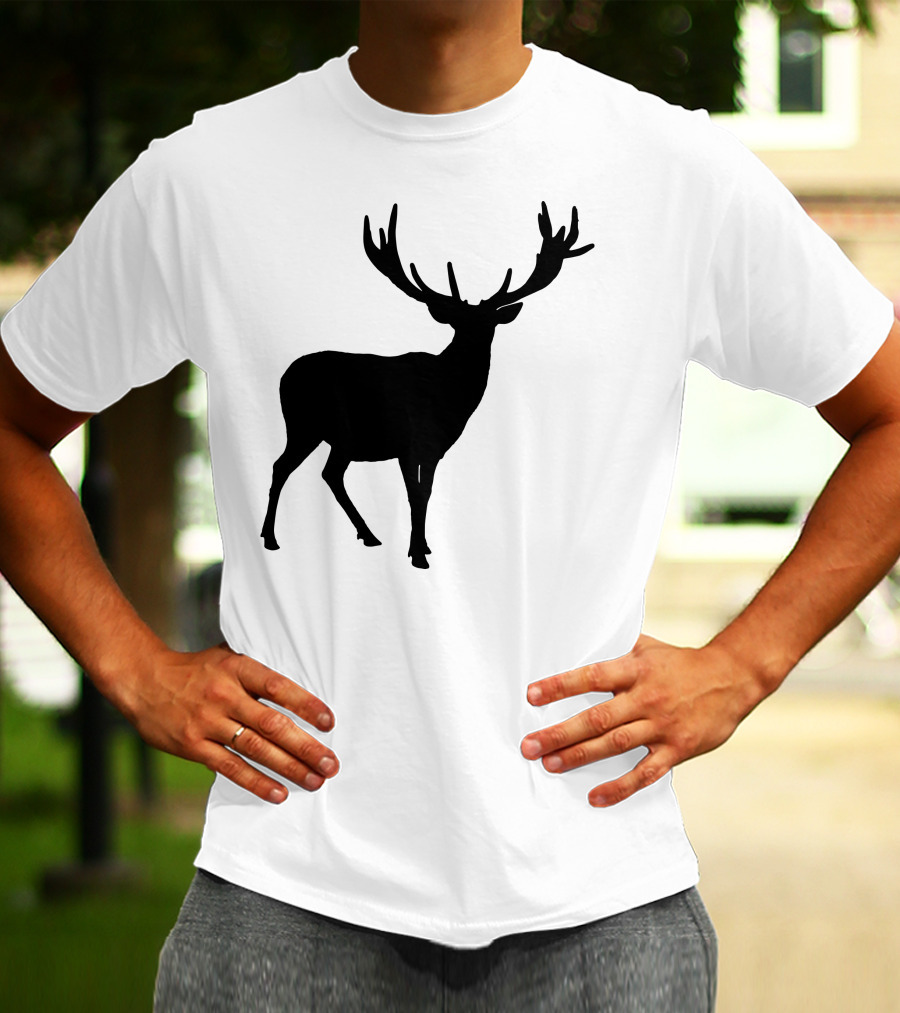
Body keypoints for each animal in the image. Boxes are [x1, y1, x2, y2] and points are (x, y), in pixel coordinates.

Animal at [260, 201, 594, 569]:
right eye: (459, 324)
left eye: (488, 324)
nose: (473, 347)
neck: (450, 398)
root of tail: (285, 376)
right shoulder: (411, 441)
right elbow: (415, 493)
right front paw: (418, 554)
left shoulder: (434, 449)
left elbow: (428, 492)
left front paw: (422, 547)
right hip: (309, 426)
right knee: (293, 469)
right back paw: (274, 539)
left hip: (324, 433)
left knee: (317, 472)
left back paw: (362, 535)